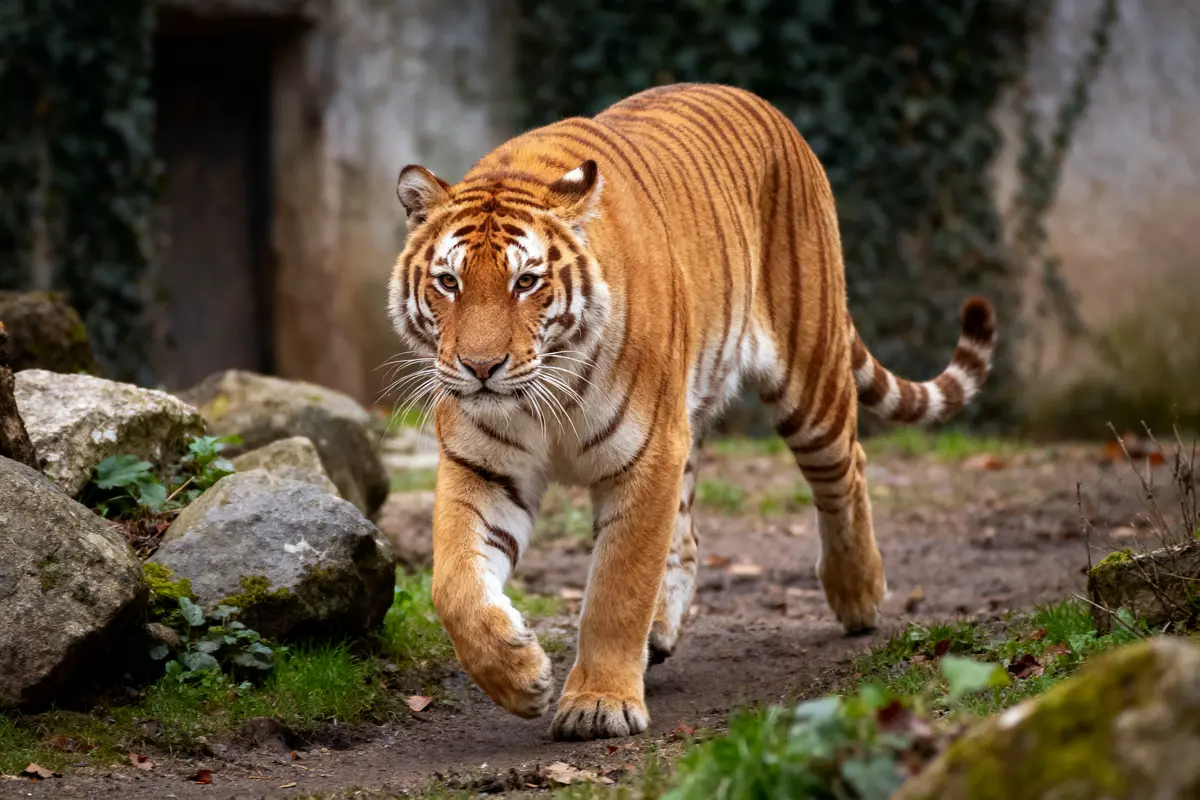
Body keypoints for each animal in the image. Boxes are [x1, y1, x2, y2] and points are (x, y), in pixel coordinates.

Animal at [388, 82, 996, 742]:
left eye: (526, 282)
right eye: (448, 282)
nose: (480, 367)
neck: (544, 395)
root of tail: (755, 98)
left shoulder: (646, 454)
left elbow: (618, 586)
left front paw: (599, 704)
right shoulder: (484, 466)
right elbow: (454, 585)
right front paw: (520, 676)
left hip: (809, 375)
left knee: (847, 468)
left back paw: (857, 594)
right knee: (689, 534)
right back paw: (659, 635)